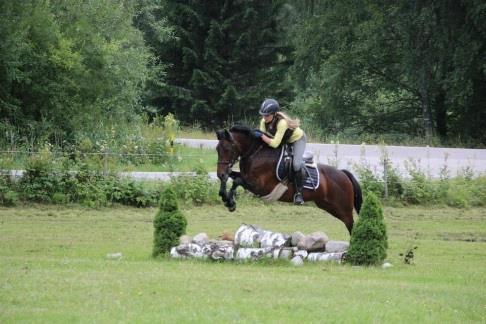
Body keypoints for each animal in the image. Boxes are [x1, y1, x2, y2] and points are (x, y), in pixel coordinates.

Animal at [215, 125, 360, 234]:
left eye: (227, 149)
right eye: (217, 149)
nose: (219, 174)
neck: (255, 153)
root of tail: (343, 174)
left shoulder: (260, 187)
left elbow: (236, 181)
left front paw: (230, 202)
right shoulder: (246, 178)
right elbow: (231, 177)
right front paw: (226, 198)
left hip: (343, 208)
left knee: (352, 224)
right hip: (328, 205)